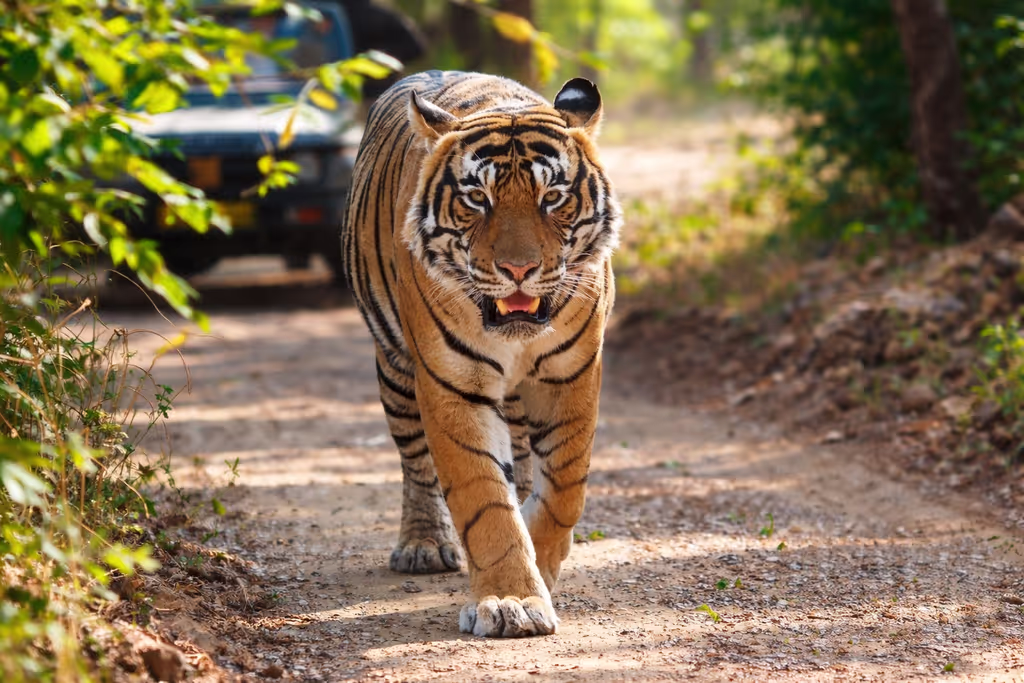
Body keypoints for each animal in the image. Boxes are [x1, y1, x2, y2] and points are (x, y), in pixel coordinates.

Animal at [341, 70, 621, 638]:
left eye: (552, 197)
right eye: (477, 198)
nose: (518, 270)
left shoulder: (571, 376)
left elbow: (565, 489)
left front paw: (541, 562)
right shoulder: (453, 384)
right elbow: (483, 499)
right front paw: (512, 600)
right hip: (395, 369)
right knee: (416, 464)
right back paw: (424, 544)